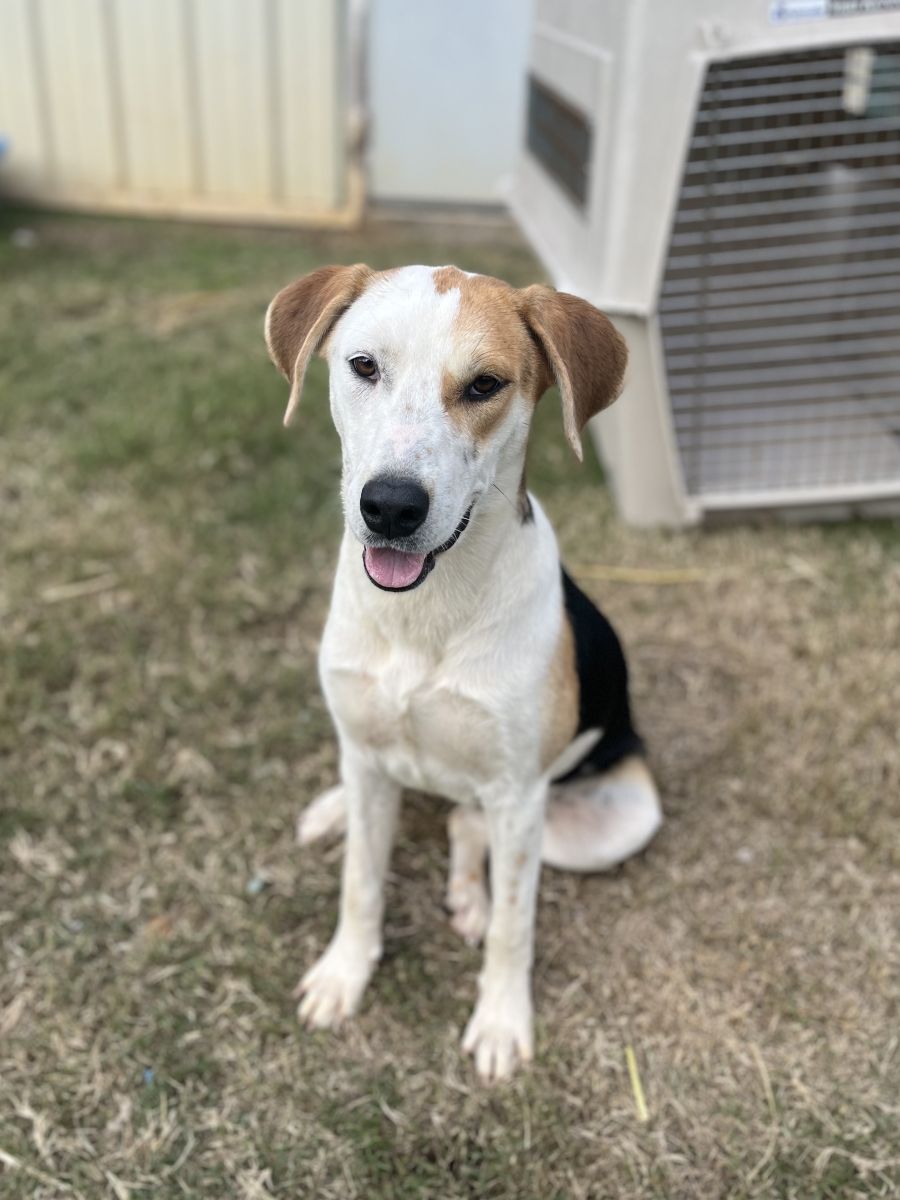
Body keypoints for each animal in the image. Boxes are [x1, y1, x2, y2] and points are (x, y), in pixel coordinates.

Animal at [262, 267, 662, 1084]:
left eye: (485, 385)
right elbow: (360, 886)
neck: (426, 612)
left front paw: (502, 1022)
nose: (389, 507)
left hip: (608, 821)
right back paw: (334, 811)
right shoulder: (370, 754)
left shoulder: (516, 793)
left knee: (465, 823)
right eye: (362, 366)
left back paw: (469, 896)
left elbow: (515, 925)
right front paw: (344, 974)